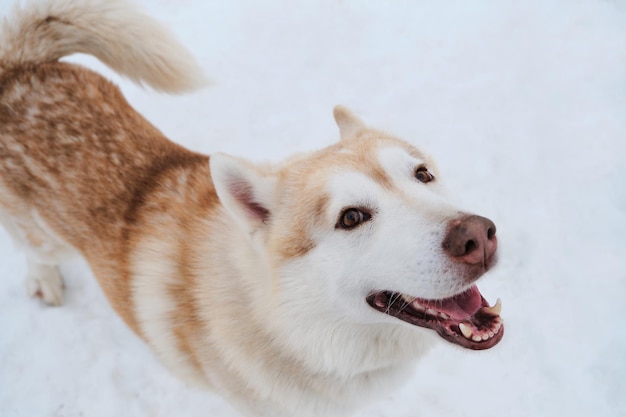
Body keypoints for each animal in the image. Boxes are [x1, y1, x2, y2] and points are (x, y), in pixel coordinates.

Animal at [0, 0, 500, 416]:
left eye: (422, 174)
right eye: (351, 218)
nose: (477, 236)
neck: (289, 330)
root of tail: (21, 68)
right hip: (42, 237)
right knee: (35, 251)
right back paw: (43, 280)